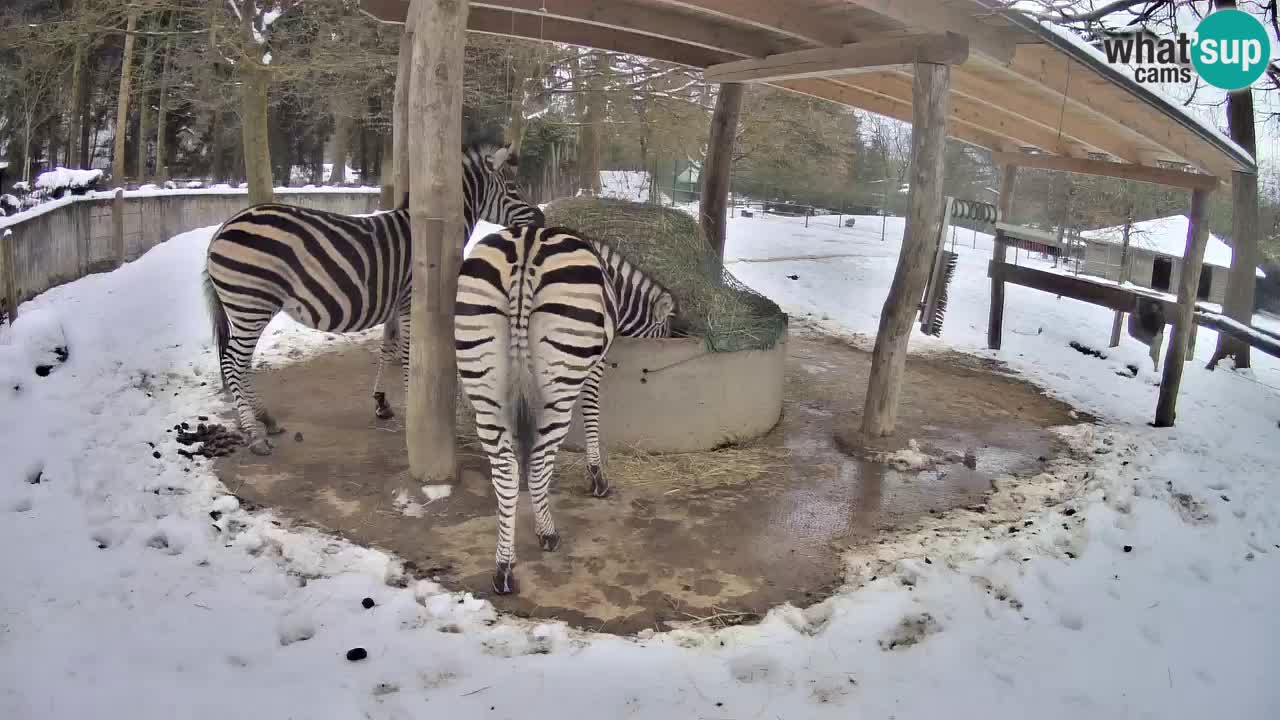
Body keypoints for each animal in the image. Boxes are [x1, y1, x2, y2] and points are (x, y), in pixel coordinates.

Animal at [203, 141, 544, 455]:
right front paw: (411, 413)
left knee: (242, 362)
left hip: (249, 308)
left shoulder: (395, 304)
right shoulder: (409, 302)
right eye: (513, 187)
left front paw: (382, 402)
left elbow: (387, 346)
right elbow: (408, 355)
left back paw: (266, 419)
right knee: (233, 362)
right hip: (251, 304)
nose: (540, 217)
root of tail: (222, 228)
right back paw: (254, 433)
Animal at [456, 224, 676, 595]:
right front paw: (597, 476)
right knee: (538, 463)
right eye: (666, 332)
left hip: (485, 386)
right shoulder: (596, 363)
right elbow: (591, 410)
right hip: (559, 383)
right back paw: (547, 534)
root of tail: (526, 248)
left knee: (506, 472)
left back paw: (503, 569)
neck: (614, 281)